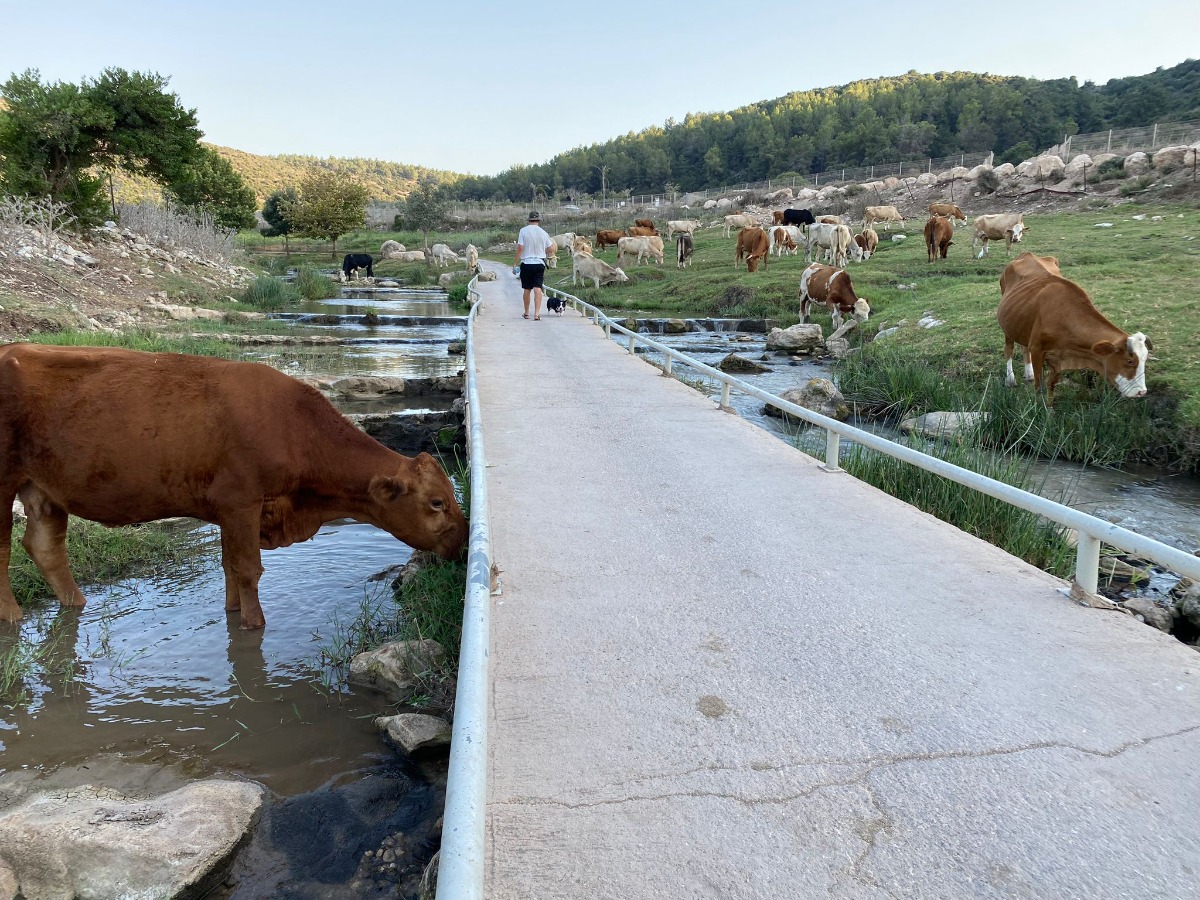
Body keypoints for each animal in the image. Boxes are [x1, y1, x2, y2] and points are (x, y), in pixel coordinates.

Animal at [0, 340, 468, 628]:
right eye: (437, 502)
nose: (466, 540)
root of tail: (12, 348)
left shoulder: (228, 511)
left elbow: (229, 568)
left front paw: (232, 613)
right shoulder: (241, 502)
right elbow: (248, 569)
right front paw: (254, 624)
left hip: (44, 488)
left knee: (45, 546)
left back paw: (75, 605)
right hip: (3, 482)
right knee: (4, 550)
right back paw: (13, 617)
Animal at [993, 250, 1152, 398]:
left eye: (1145, 359)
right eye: (1129, 361)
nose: (1142, 392)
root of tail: (1027, 254)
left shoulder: (1058, 358)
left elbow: (1052, 385)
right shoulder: (1037, 349)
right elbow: (1039, 387)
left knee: (1024, 347)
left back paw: (1028, 373)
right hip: (1008, 324)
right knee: (1009, 349)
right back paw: (1010, 379)